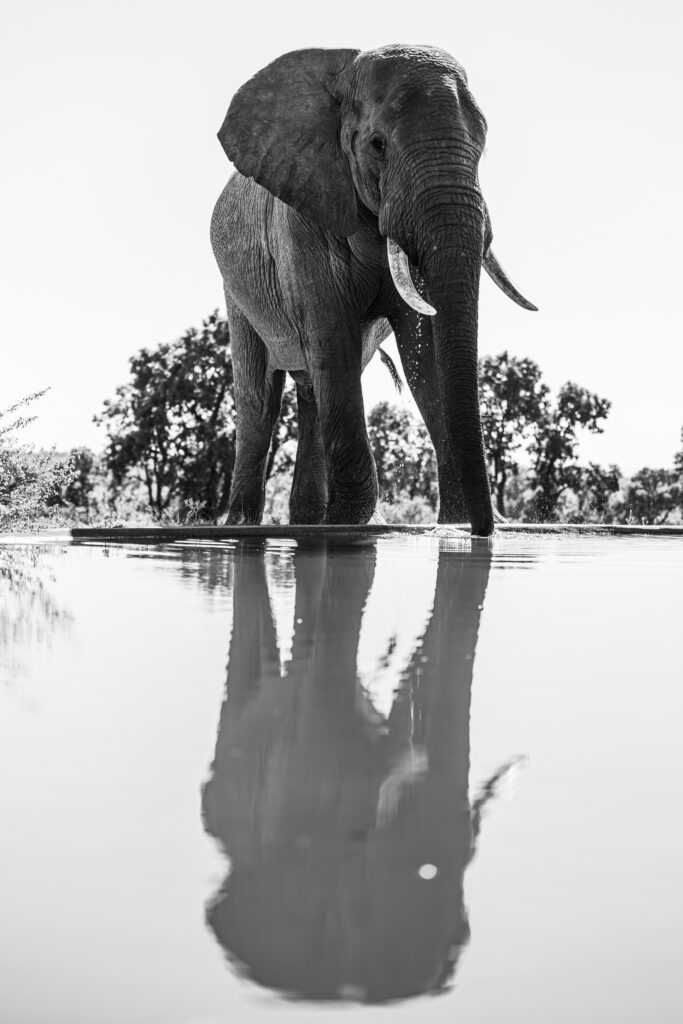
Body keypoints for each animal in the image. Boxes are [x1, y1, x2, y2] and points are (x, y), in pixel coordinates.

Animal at [210, 46, 536, 536]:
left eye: (481, 144)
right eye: (377, 144)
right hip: (238, 292)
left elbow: (426, 350)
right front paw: (356, 524)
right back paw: (245, 526)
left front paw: (454, 524)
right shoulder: (302, 220)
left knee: (312, 392)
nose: (486, 531)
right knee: (260, 397)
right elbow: (334, 342)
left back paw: (308, 523)